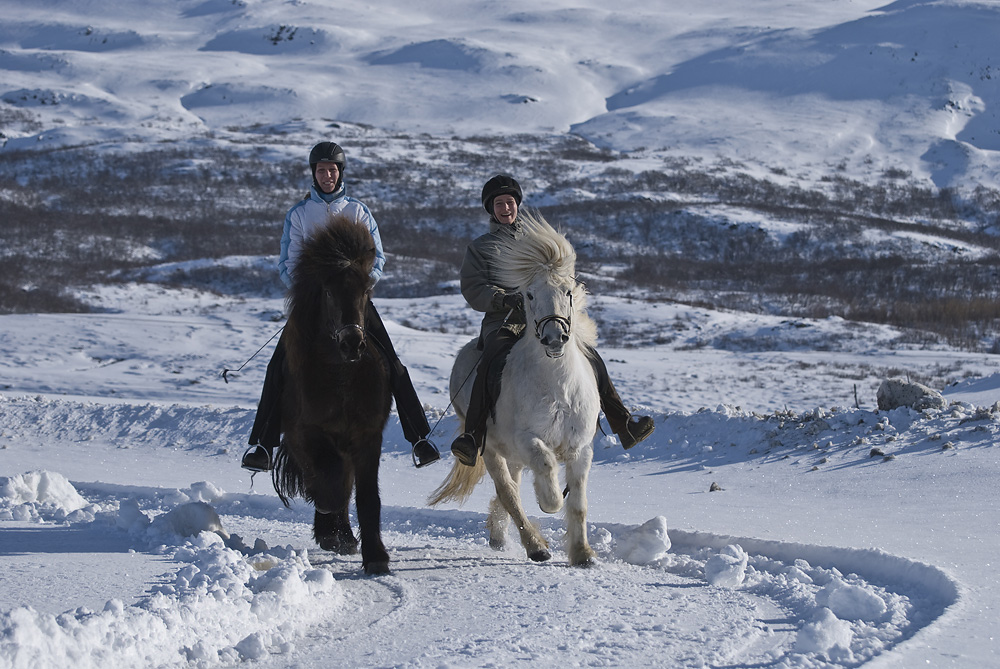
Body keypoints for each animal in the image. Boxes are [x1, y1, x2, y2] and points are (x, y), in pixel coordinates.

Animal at [278, 214, 394, 576]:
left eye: (366, 291)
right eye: (328, 291)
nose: (352, 343)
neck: (341, 377)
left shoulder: (368, 436)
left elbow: (367, 496)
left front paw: (376, 556)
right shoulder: (306, 433)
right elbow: (330, 480)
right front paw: (333, 532)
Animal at [430, 211, 600, 568]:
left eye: (568, 292)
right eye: (529, 295)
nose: (554, 338)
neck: (557, 387)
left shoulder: (580, 448)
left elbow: (578, 504)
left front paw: (583, 555)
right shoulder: (528, 441)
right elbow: (547, 474)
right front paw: (550, 502)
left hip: (510, 455)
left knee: (511, 487)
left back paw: (500, 534)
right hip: (490, 449)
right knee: (508, 490)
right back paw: (535, 546)